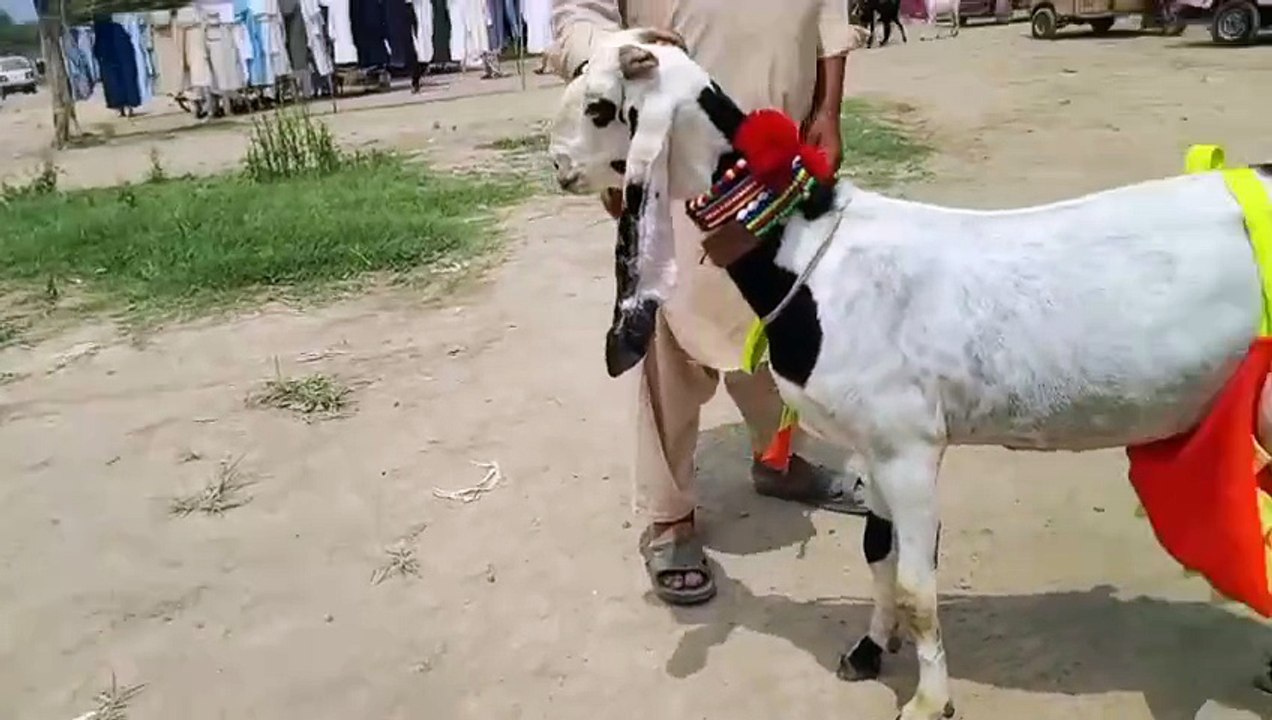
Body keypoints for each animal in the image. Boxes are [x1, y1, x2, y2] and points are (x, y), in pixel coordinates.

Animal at [549, 33, 1272, 720]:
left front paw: (929, 700)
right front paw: (871, 649)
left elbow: (920, 586)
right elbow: (877, 549)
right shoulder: (874, 445)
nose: (556, 165)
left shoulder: (910, 448)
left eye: (600, 108)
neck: (810, 252)